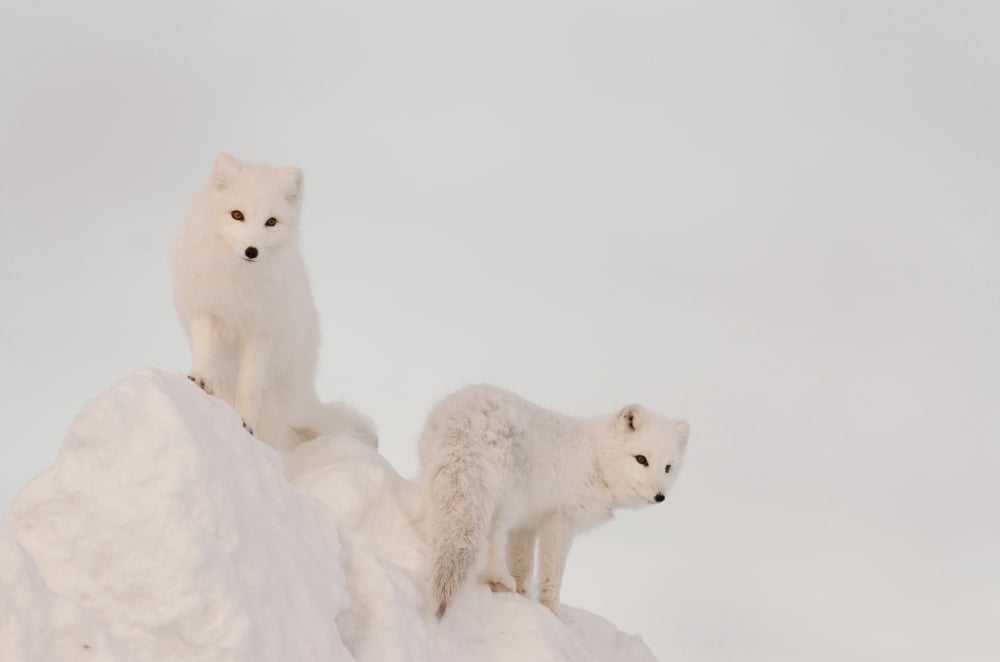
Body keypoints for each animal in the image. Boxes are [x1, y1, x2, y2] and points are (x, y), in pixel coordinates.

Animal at [170, 152, 377, 452]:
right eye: (237, 215)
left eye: (271, 222)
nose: (251, 251)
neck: (239, 278)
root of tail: (306, 394)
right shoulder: (206, 311)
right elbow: (204, 353)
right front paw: (198, 379)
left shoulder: (261, 332)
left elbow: (249, 386)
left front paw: (245, 423)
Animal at [419, 384, 688, 618]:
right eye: (641, 459)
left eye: (668, 467)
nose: (660, 496)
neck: (596, 460)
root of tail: (466, 416)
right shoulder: (560, 520)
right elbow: (552, 573)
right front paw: (552, 612)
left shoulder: (526, 526)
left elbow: (523, 566)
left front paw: (524, 596)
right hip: (506, 500)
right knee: (492, 536)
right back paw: (499, 579)